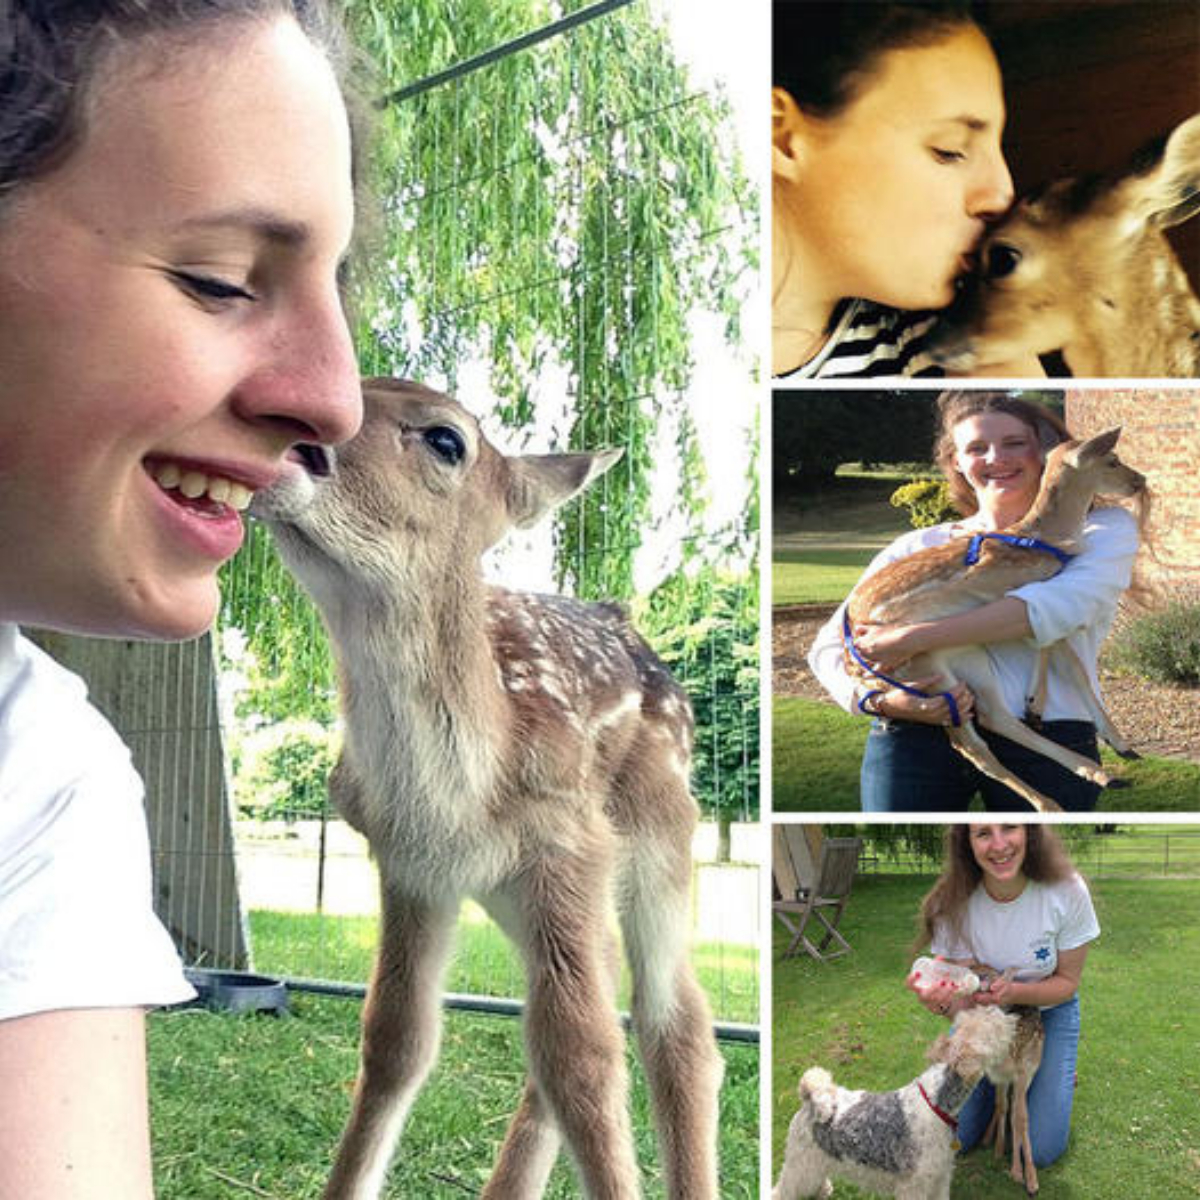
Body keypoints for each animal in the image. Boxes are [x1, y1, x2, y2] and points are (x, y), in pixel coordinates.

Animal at [253, 379, 720, 1200]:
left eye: (447, 440)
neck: (456, 801)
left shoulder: (565, 845)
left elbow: (583, 1058)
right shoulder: (411, 869)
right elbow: (396, 1040)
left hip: (662, 830)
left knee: (676, 1018)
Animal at [844, 427, 1142, 811]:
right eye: (1113, 460)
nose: (1140, 481)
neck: (1044, 538)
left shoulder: (1030, 600)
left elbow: (1061, 652)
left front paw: (1112, 740)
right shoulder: (1003, 595)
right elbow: (1058, 650)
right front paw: (1041, 705)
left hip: (968, 658)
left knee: (994, 716)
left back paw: (1099, 773)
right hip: (924, 670)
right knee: (971, 744)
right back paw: (1052, 802)